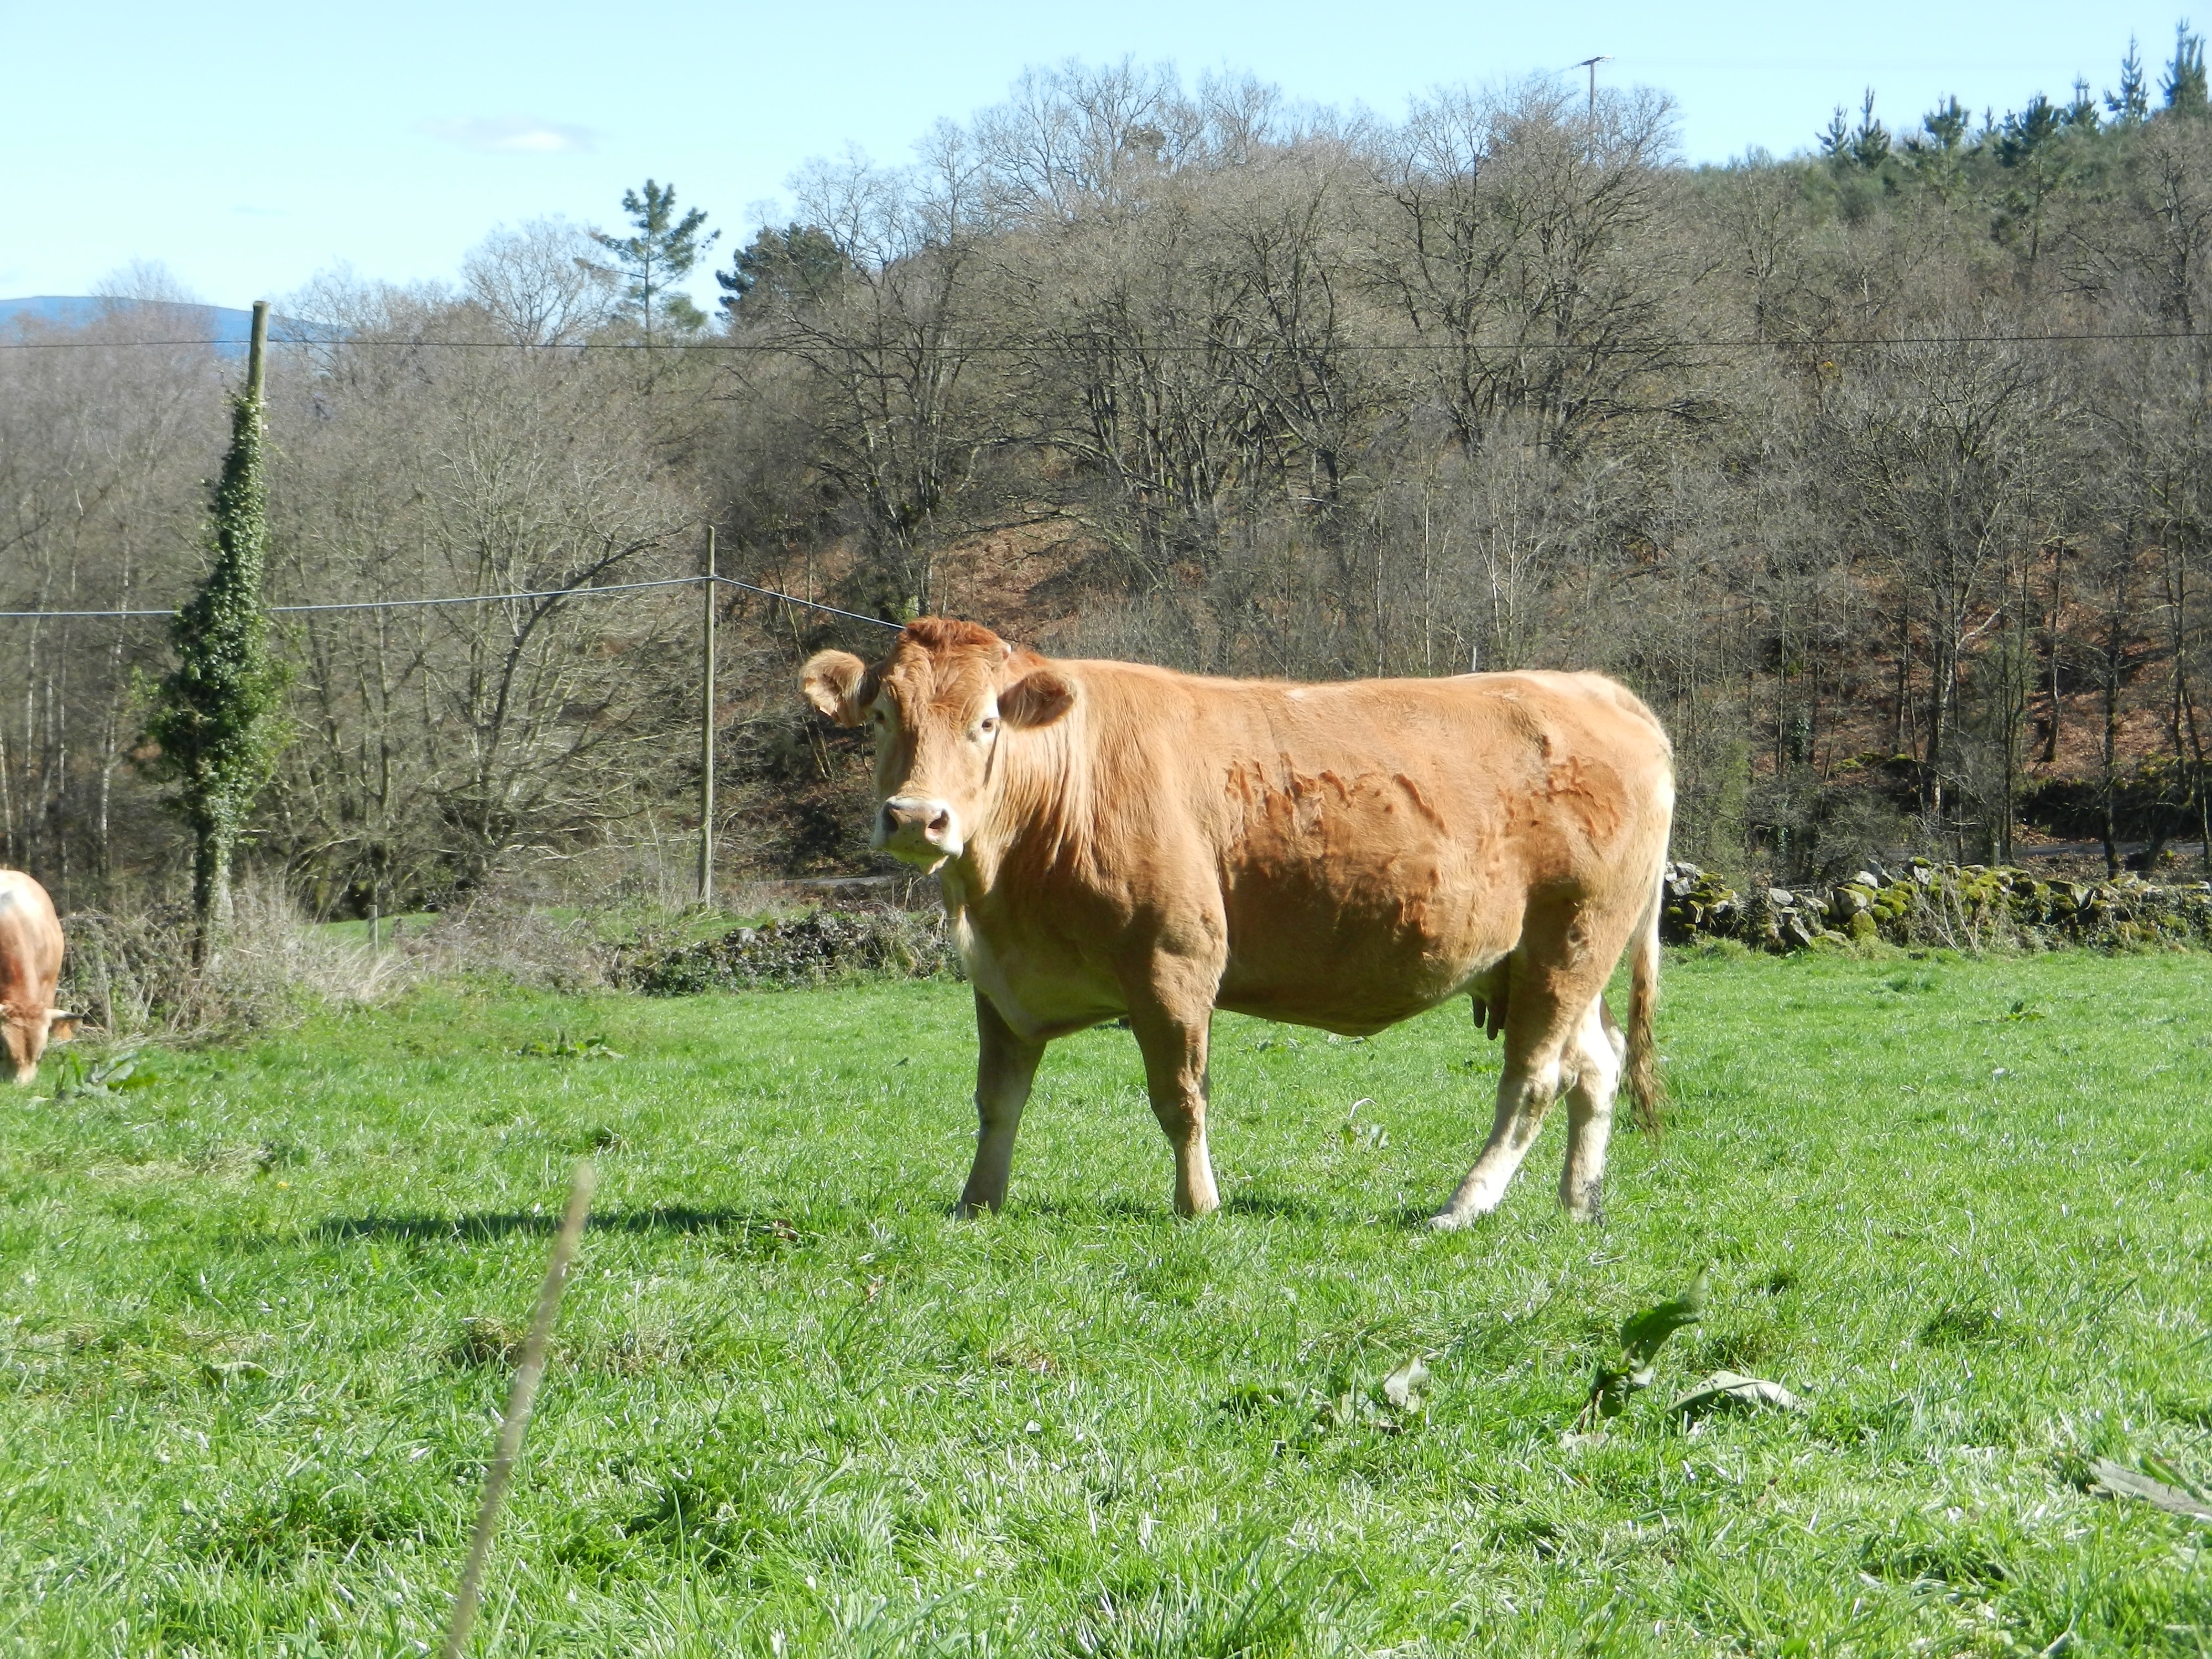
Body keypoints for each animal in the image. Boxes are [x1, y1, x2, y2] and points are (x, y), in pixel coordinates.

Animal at [810, 619, 1672, 1230]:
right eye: (881, 715)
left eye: (987, 723)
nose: (917, 818)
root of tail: (1593, 688)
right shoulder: (1000, 979)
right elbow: (997, 1100)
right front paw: (977, 1203)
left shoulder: (1174, 961)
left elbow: (1180, 1098)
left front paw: (1198, 1206)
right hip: (1545, 960)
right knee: (1595, 1065)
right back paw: (1577, 1204)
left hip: (1572, 938)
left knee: (1535, 1078)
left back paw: (1464, 1205)